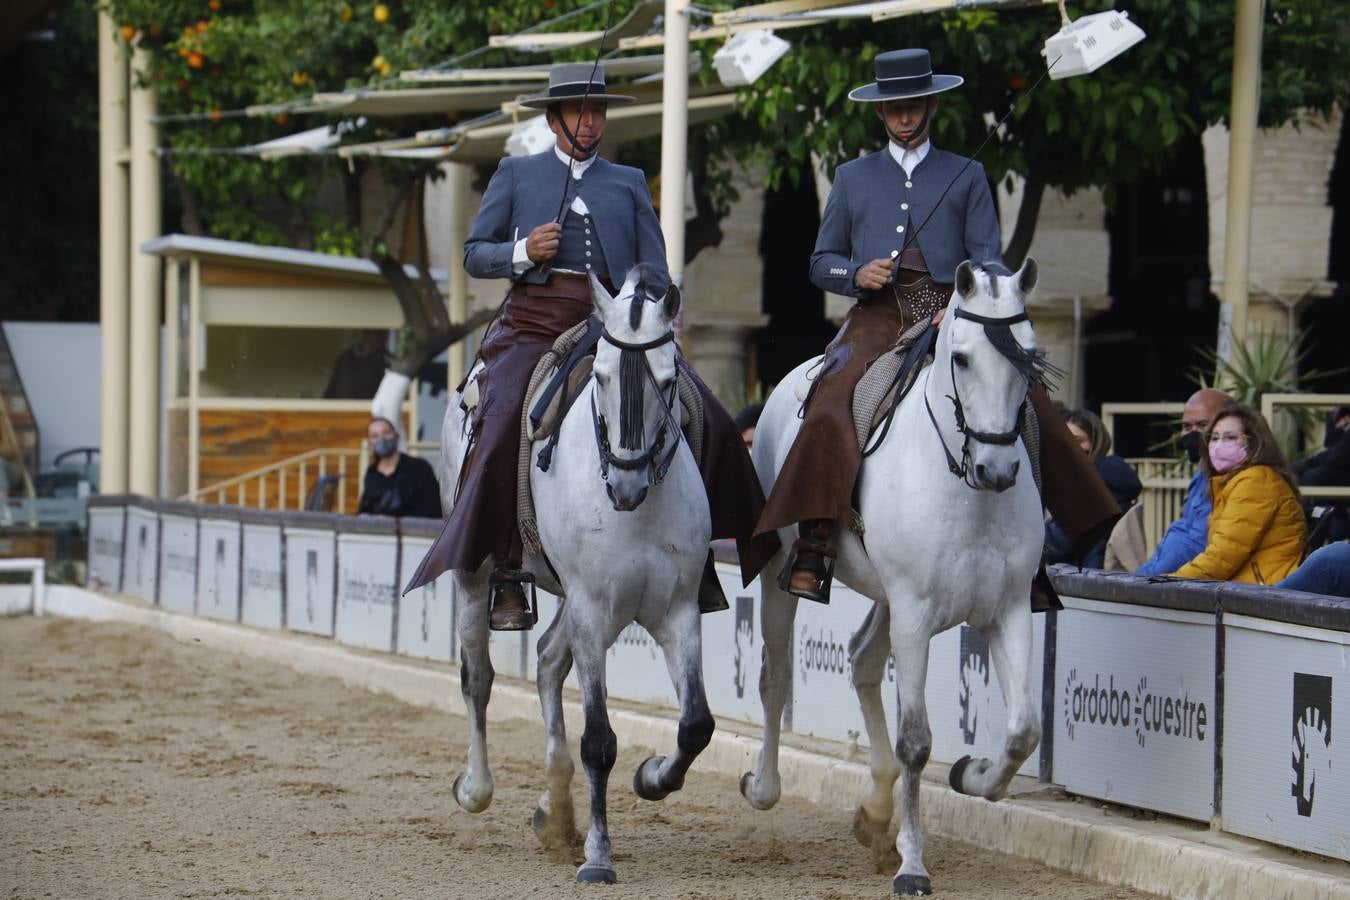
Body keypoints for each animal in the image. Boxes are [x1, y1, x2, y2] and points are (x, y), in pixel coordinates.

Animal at [442, 265, 718, 885]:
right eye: (602, 376)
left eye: (668, 380)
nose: (626, 482)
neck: (639, 512)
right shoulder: (593, 610)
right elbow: (598, 739)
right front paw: (598, 857)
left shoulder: (678, 611)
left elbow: (695, 724)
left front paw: (652, 777)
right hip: (477, 573)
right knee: (478, 677)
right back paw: (476, 788)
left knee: (546, 660)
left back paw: (555, 810)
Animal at [739, 259, 1042, 895]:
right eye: (962, 359)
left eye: (1030, 355)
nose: (999, 469)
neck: (967, 489)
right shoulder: (916, 613)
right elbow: (916, 742)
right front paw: (913, 864)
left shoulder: (1007, 610)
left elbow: (1023, 729)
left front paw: (973, 775)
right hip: (786, 575)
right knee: (776, 678)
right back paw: (764, 787)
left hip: (888, 600)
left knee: (861, 660)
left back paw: (875, 812)